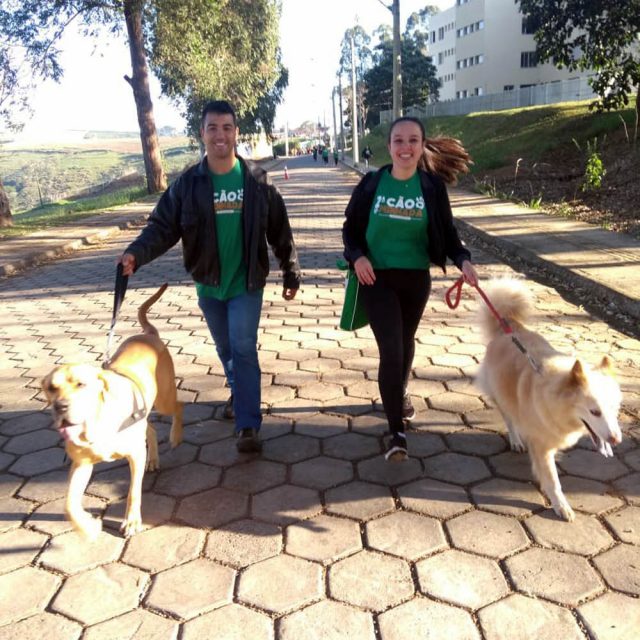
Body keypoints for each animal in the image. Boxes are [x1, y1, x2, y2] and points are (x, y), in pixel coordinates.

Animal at [42, 284, 183, 538]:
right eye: (51, 388)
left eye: (81, 384)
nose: (61, 407)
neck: (97, 426)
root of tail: (149, 334)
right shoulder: (81, 464)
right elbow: (69, 504)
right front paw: (88, 526)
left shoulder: (135, 454)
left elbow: (133, 491)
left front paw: (132, 522)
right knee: (151, 428)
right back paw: (154, 458)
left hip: (164, 398)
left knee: (179, 406)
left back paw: (176, 435)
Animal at [475, 278, 622, 521]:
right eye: (595, 412)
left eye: (615, 410)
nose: (616, 440)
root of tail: (510, 326)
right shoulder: (542, 446)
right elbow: (553, 481)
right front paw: (560, 505)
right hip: (501, 396)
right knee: (509, 418)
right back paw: (516, 440)